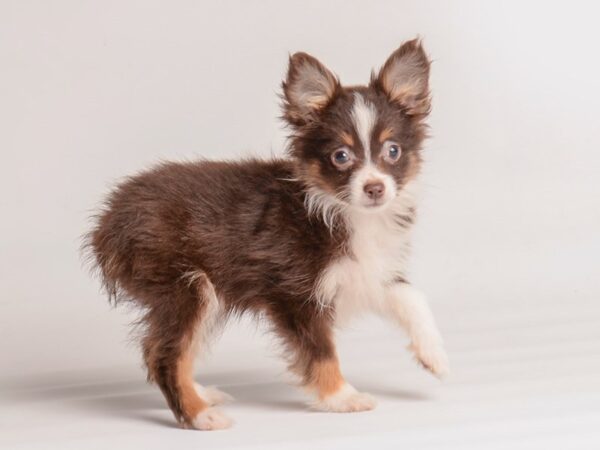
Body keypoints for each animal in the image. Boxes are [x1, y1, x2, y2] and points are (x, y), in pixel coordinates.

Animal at [86, 40, 448, 430]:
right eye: (341, 156)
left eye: (392, 151)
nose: (375, 188)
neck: (340, 210)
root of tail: (107, 220)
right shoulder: (295, 295)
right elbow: (321, 351)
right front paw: (341, 397)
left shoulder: (364, 270)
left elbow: (410, 296)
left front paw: (434, 353)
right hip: (186, 287)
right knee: (164, 354)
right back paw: (199, 415)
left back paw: (201, 394)